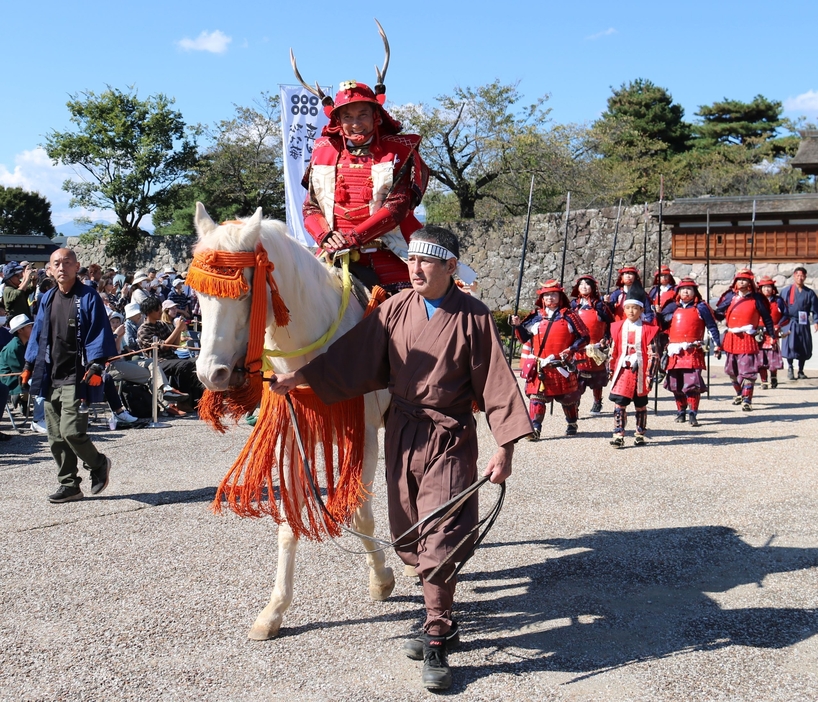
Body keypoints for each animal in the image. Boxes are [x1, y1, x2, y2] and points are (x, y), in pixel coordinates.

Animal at [192, 204, 396, 644]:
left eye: (244, 292)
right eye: (197, 295)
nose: (210, 374)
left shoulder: (364, 436)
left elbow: (360, 513)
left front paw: (380, 577)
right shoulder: (293, 436)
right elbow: (288, 522)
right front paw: (274, 610)